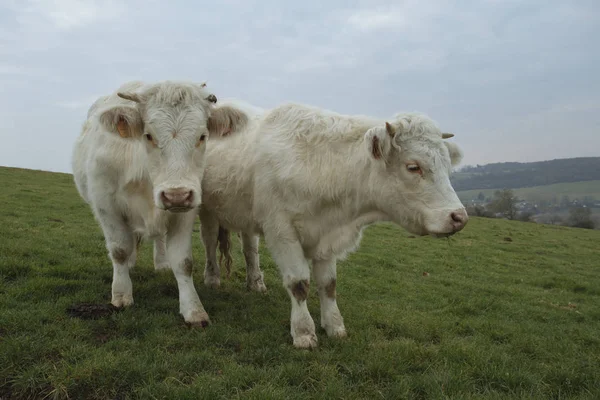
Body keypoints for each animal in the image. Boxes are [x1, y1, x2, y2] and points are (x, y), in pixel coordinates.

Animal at [71, 79, 247, 326]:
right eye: (148, 135)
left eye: (202, 136)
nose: (176, 195)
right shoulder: (106, 205)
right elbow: (119, 250)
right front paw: (121, 295)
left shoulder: (185, 210)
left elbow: (183, 262)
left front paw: (193, 310)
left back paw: (162, 264)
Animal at [199, 100, 466, 346]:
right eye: (413, 167)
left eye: (446, 165)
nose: (459, 217)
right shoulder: (282, 231)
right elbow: (299, 283)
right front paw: (304, 332)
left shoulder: (326, 235)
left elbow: (328, 285)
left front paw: (335, 326)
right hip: (207, 210)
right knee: (209, 242)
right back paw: (212, 279)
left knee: (250, 248)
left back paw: (256, 283)